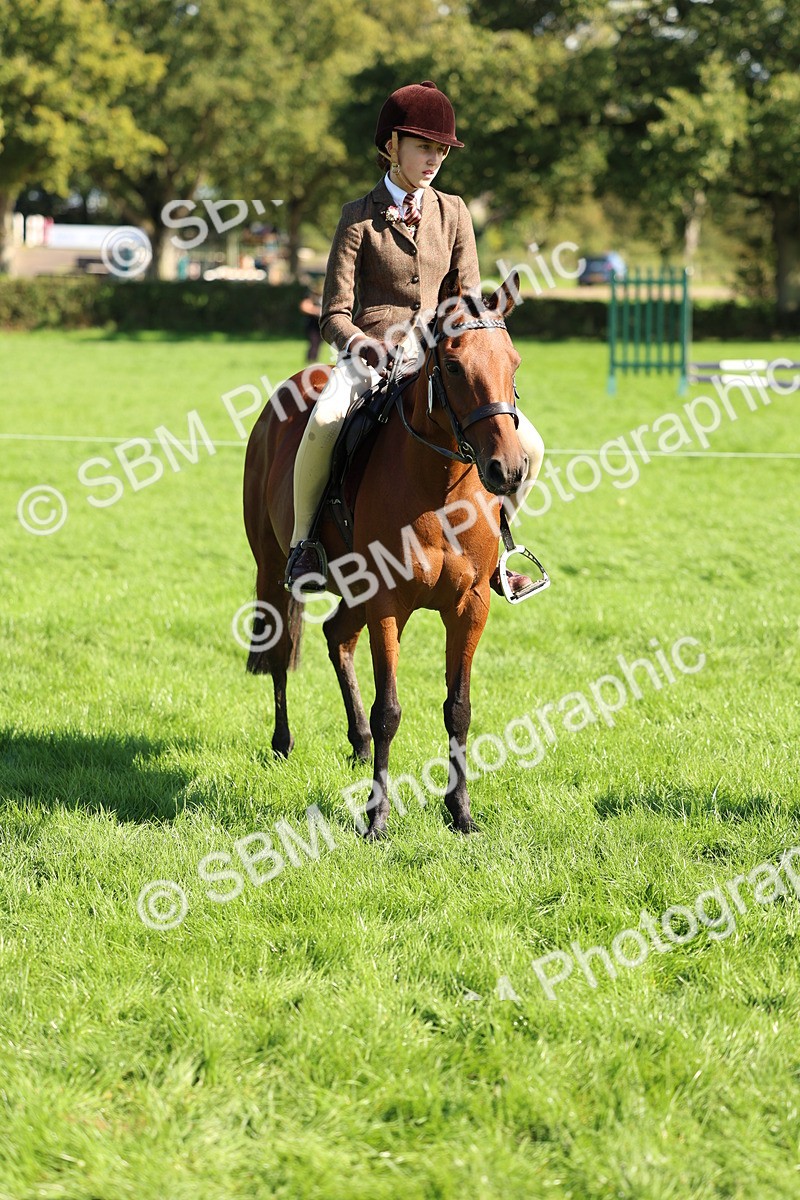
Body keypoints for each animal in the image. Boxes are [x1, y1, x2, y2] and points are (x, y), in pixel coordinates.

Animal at [243, 268, 527, 839]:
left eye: (513, 363)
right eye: (454, 365)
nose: (508, 470)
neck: (439, 486)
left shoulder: (471, 606)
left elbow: (458, 709)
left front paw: (460, 812)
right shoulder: (388, 604)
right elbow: (389, 710)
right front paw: (376, 819)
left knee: (336, 636)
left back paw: (356, 744)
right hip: (272, 569)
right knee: (282, 648)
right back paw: (283, 742)